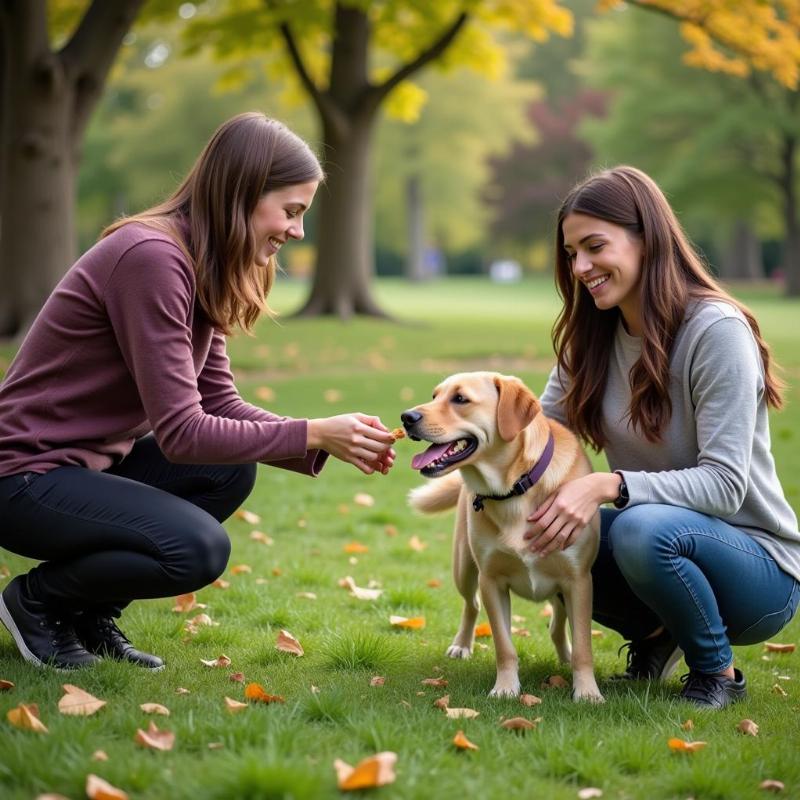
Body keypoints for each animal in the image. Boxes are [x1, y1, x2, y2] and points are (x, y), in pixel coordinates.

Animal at [406, 372, 600, 704]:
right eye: (434, 396)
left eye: (460, 399)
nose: (406, 417)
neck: (514, 490)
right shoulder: (491, 581)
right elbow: (504, 646)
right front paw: (506, 688)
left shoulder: (579, 580)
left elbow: (584, 646)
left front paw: (587, 691)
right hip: (464, 568)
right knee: (471, 605)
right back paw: (462, 644)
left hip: (562, 590)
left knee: (557, 625)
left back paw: (564, 656)